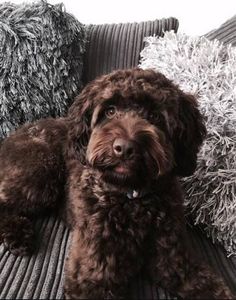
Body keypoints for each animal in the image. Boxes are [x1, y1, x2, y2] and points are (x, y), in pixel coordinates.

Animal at [0, 69, 233, 298]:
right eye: (110, 111)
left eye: (155, 116)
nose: (125, 147)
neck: (131, 198)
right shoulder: (93, 274)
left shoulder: (175, 261)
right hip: (42, 172)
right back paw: (19, 235)